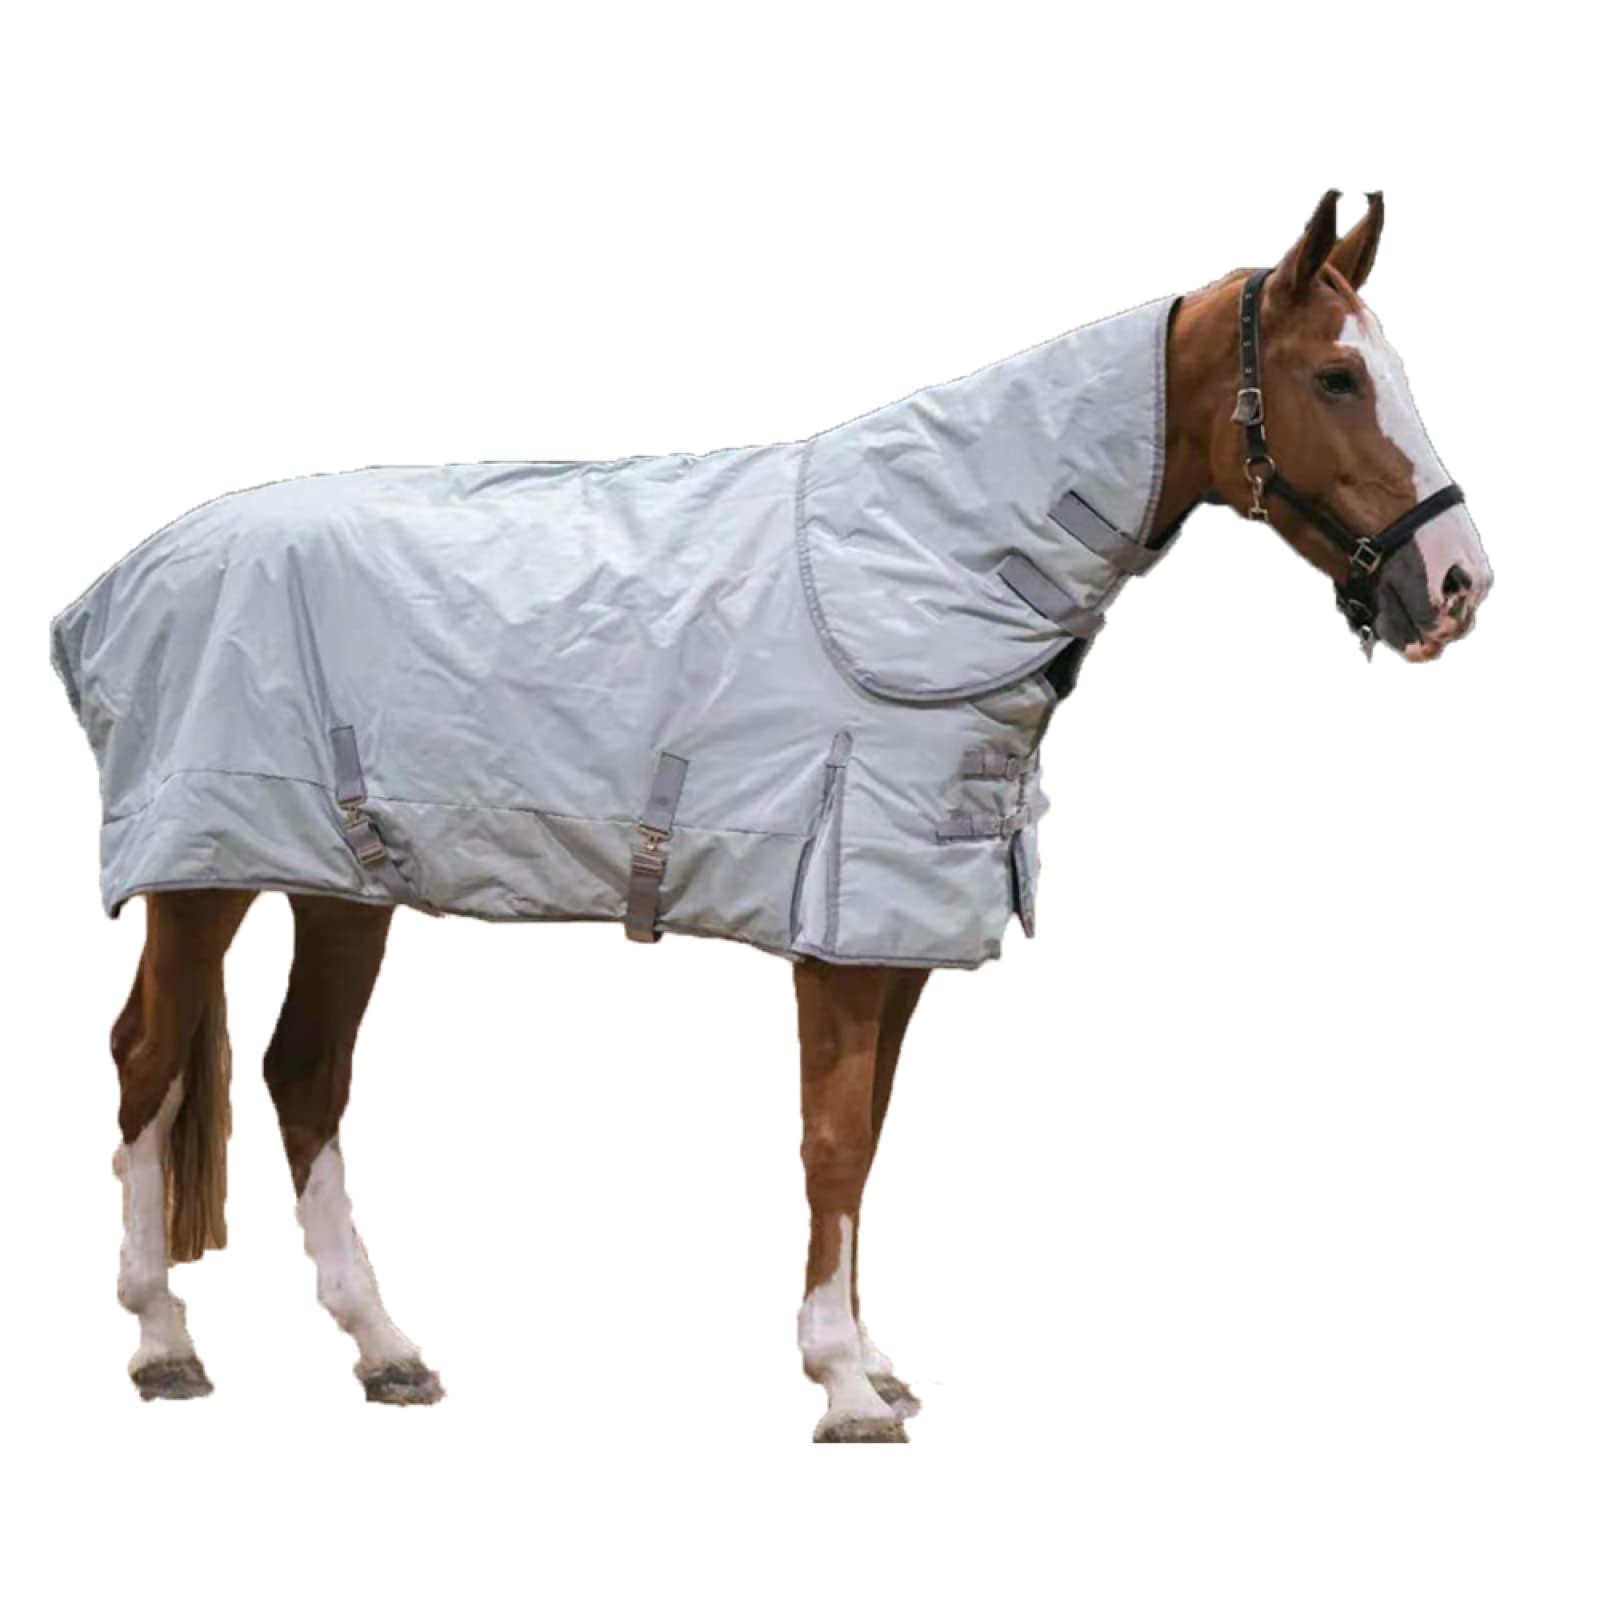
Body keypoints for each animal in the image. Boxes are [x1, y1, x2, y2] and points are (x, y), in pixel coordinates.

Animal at [60, 189, 1492, 1442]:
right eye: (1336, 379)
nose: (1455, 583)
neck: (919, 566)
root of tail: (122, 581)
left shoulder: (894, 935)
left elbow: (871, 1140)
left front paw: (873, 1360)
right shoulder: (839, 934)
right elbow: (832, 1140)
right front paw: (844, 1387)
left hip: (341, 880)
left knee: (303, 1073)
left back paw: (386, 1351)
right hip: (203, 874)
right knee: (146, 1061)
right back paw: (163, 1345)